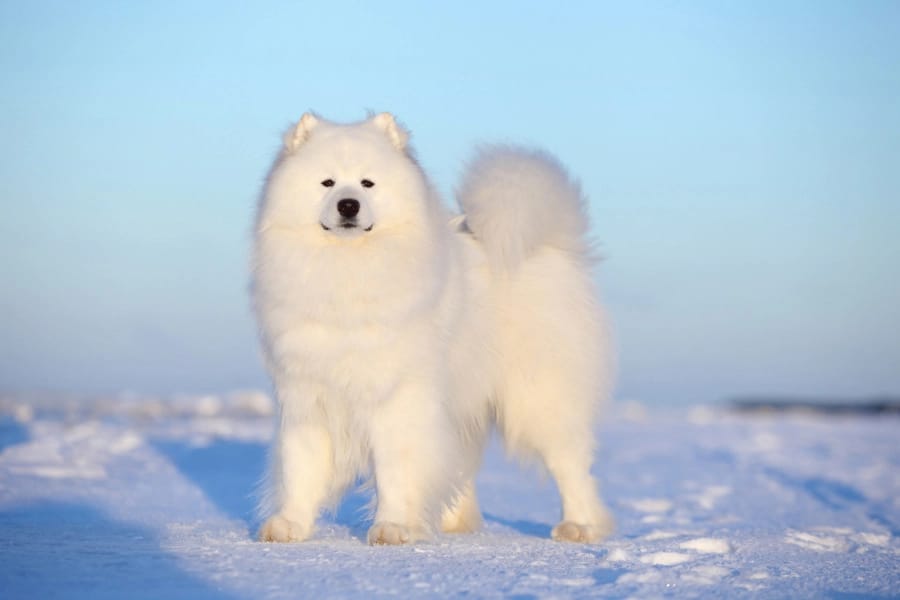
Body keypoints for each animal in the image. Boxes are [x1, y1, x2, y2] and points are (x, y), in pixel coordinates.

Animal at [255, 111, 620, 544]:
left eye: (367, 183)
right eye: (327, 182)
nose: (348, 205)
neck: (348, 271)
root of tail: (547, 247)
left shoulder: (396, 396)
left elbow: (395, 470)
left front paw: (393, 527)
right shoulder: (306, 396)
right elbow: (300, 467)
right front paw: (289, 525)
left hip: (538, 398)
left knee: (571, 465)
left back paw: (580, 526)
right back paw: (454, 524)